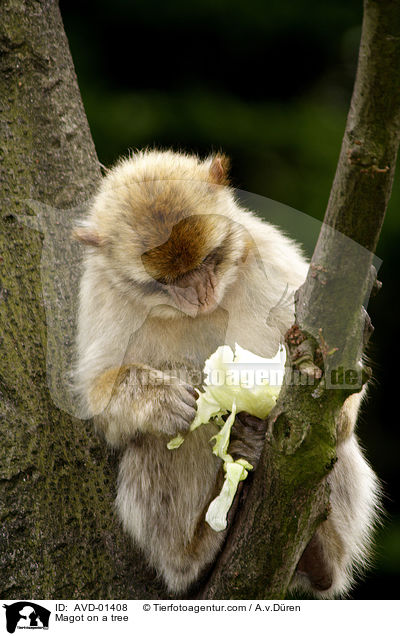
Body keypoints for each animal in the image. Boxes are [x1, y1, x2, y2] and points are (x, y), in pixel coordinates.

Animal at [72, 148, 382, 596]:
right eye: (163, 281)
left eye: (208, 259)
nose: (199, 294)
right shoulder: (102, 294)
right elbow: (98, 398)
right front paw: (160, 399)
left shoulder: (266, 251)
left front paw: (335, 409)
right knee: (175, 431)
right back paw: (195, 554)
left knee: (335, 449)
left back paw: (320, 555)